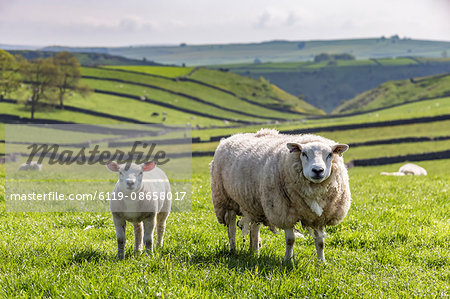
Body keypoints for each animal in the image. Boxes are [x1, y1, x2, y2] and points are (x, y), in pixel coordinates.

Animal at [211, 130, 352, 264]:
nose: (317, 170)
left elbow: (320, 242)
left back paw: (254, 252)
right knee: (232, 228)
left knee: (254, 230)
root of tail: (230, 137)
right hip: (225, 200)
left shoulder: (319, 217)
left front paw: (321, 262)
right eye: (304, 153)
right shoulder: (284, 212)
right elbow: (290, 240)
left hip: (255, 204)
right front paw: (288, 261)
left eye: (330, 154)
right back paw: (233, 250)